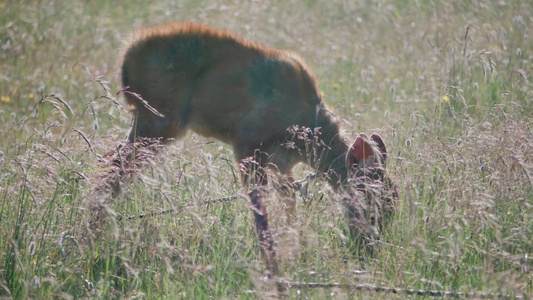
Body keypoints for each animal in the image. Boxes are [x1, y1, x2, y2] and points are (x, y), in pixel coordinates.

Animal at [118, 22, 392, 276]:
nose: (371, 248)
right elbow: (261, 213)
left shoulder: (282, 164)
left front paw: (296, 248)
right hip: (159, 121)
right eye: (371, 198)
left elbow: (289, 204)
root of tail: (126, 56)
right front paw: (273, 268)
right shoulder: (247, 145)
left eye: (393, 199)